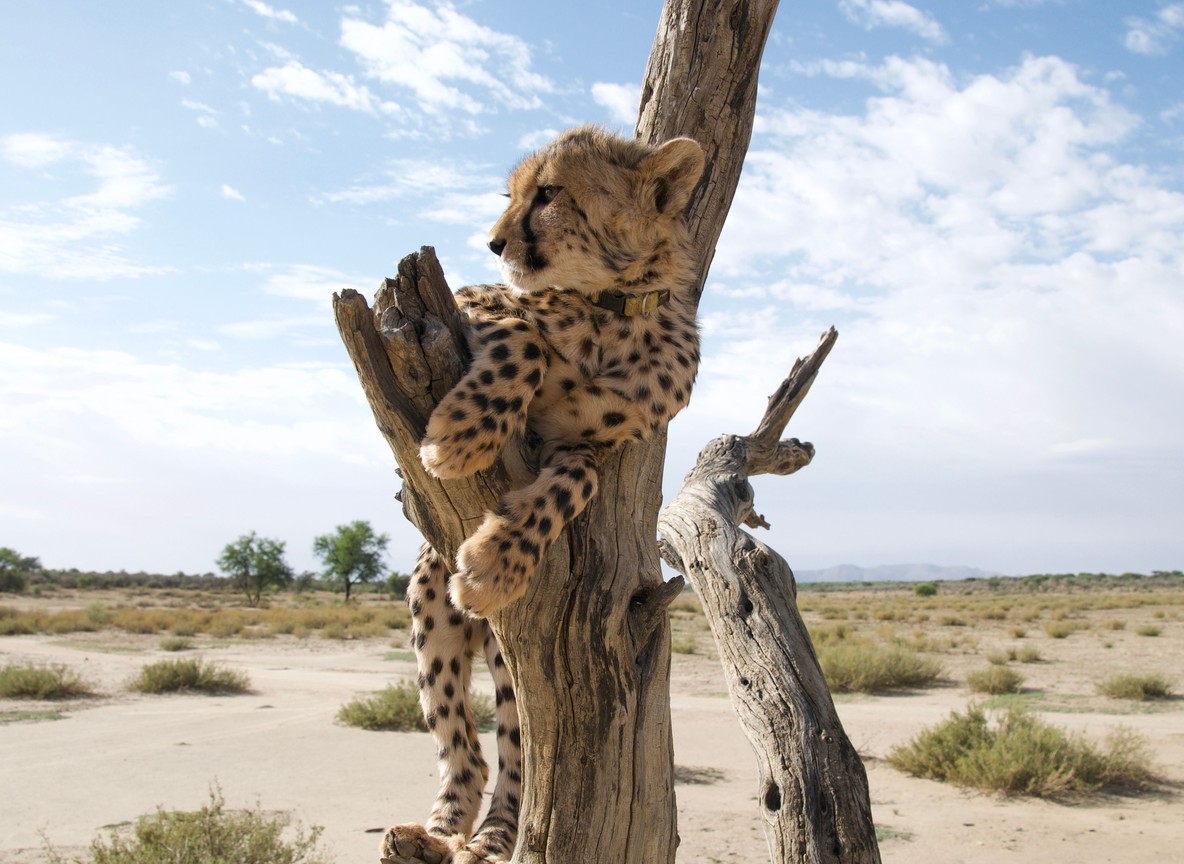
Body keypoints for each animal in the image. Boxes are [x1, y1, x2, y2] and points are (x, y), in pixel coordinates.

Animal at [382, 125, 705, 864]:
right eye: (512, 193)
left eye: (551, 192)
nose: (494, 242)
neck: (611, 311)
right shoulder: (470, 304)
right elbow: (524, 337)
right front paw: (459, 435)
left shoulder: (586, 450)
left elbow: (572, 485)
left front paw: (496, 565)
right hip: (428, 601)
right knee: (461, 746)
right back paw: (438, 832)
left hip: (506, 654)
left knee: (515, 748)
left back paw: (491, 838)